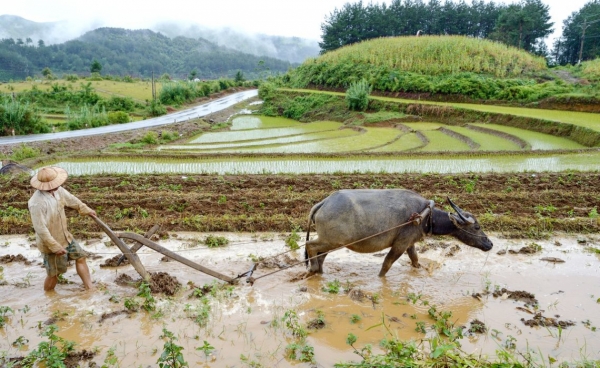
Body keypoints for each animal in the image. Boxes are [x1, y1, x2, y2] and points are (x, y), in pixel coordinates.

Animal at [304, 190, 492, 276]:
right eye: (476, 227)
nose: (490, 244)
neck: (425, 216)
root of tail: (323, 203)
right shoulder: (400, 245)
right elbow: (386, 264)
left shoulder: (410, 243)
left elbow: (415, 259)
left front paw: (419, 269)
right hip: (332, 240)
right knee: (310, 245)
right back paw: (312, 269)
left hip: (332, 242)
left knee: (321, 255)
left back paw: (319, 272)